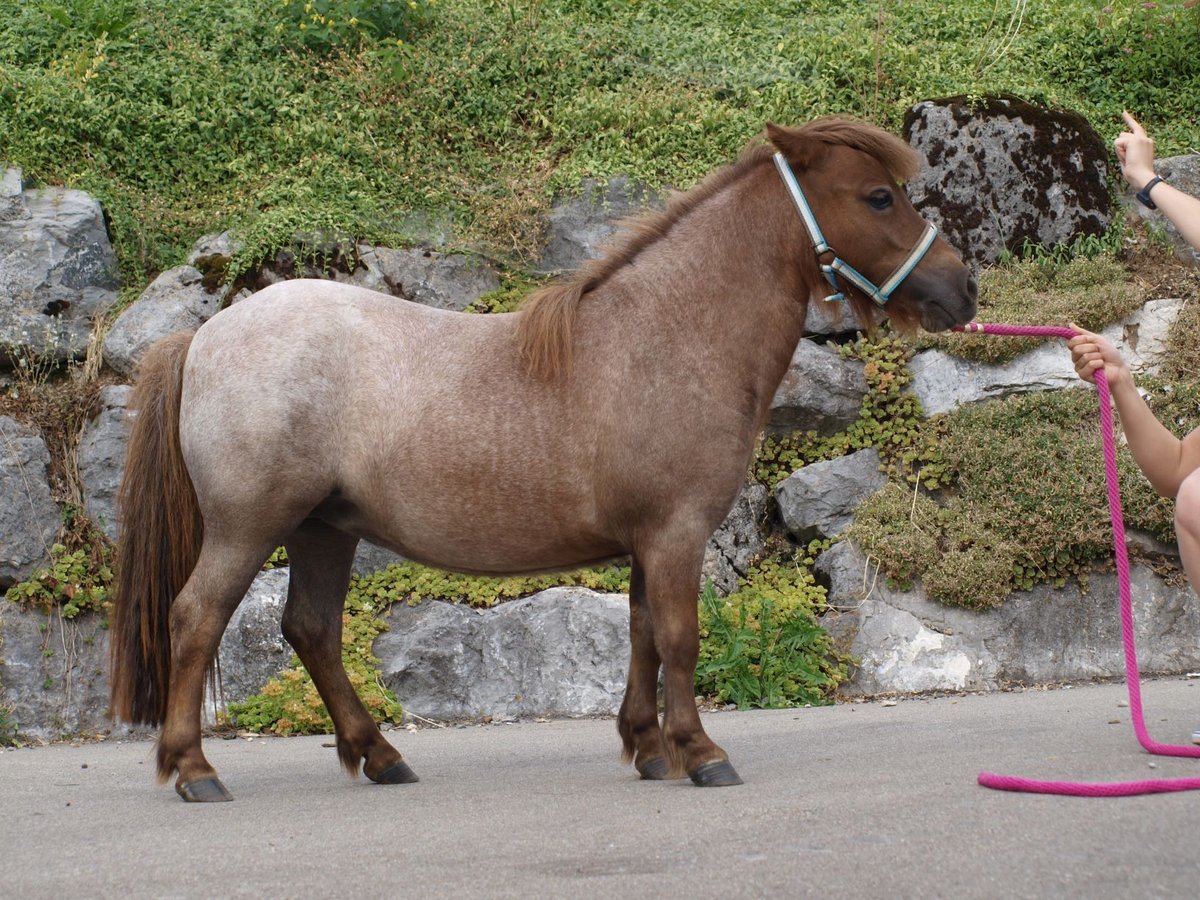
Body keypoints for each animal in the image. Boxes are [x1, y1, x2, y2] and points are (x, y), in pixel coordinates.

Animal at [110, 120, 974, 801]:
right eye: (878, 198)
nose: (962, 290)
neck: (669, 333)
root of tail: (205, 334)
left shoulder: (648, 540)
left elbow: (643, 633)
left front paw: (647, 747)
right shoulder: (676, 532)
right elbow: (680, 636)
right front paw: (700, 752)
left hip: (326, 528)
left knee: (311, 630)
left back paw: (380, 756)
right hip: (249, 527)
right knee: (197, 618)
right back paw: (194, 770)